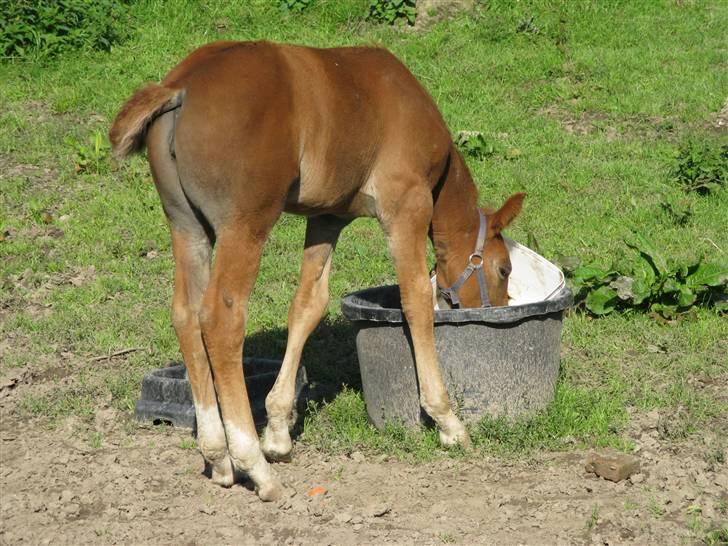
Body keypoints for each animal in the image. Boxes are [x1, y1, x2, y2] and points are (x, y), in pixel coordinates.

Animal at [109, 40, 524, 500]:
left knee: (185, 315)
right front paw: (447, 420)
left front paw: (277, 430)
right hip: (244, 226)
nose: (495, 307)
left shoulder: (327, 218)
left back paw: (218, 457)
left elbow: (308, 305)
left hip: (187, 228)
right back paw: (254, 466)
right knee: (219, 319)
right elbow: (415, 297)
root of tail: (180, 85)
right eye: (503, 269)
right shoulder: (406, 208)